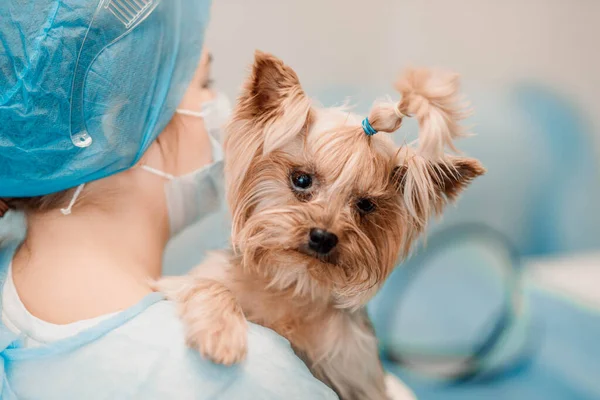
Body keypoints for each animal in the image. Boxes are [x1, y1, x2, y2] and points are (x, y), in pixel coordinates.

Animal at [157, 51, 486, 398]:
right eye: (301, 179)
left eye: (365, 204)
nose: (323, 237)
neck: (294, 282)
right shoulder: (183, 281)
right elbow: (206, 285)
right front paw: (220, 334)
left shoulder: (354, 370)